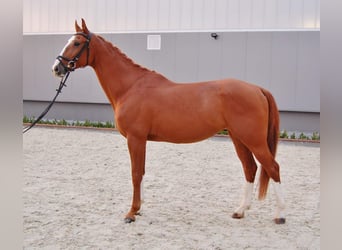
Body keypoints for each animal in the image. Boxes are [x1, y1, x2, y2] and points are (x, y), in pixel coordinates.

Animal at [51, 18, 286, 224]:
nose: (56, 68)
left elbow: (135, 173)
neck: (131, 86)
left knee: (272, 168)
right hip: (239, 138)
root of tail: (257, 89)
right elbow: (141, 172)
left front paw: (131, 212)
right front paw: (139, 208)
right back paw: (240, 210)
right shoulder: (141, 140)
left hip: (253, 140)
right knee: (250, 169)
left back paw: (280, 215)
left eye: (77, 43)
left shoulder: (135, 139)